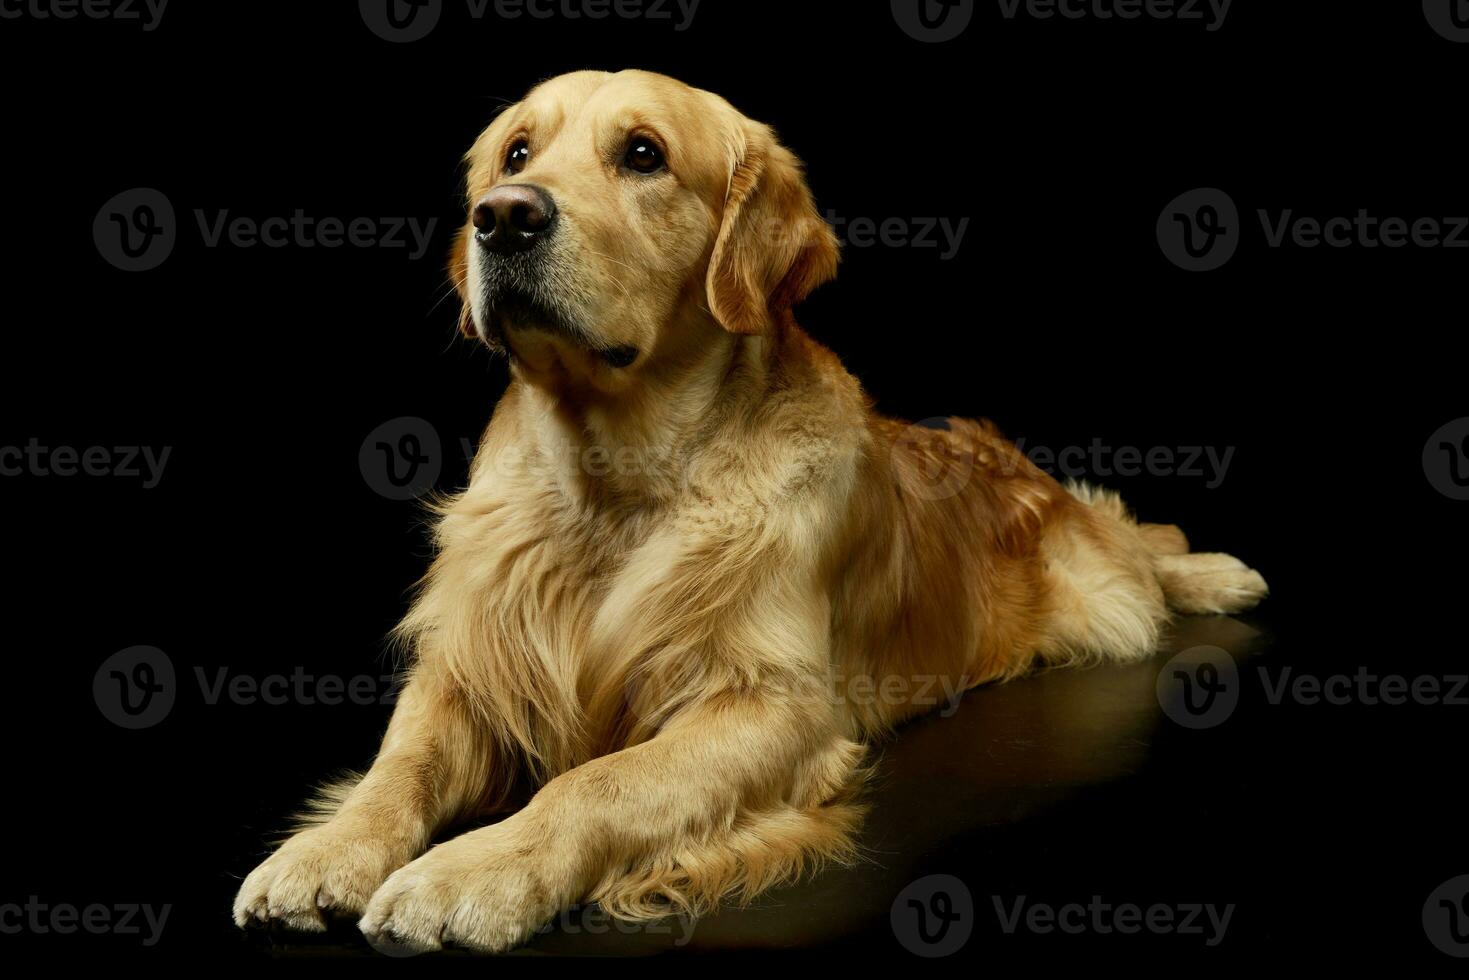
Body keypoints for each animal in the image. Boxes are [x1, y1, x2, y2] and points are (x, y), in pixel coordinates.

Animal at [229, 70, 1263, 957]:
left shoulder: (774, 706)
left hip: (1097, 586)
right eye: (515, 154)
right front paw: (325, 851)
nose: (503, 217)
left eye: (642, 154)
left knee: (1140, 542)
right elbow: (396, 768)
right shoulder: (465, 666)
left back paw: (1220, 573)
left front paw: (472, 871)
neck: (615, 484)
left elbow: (593, 783)